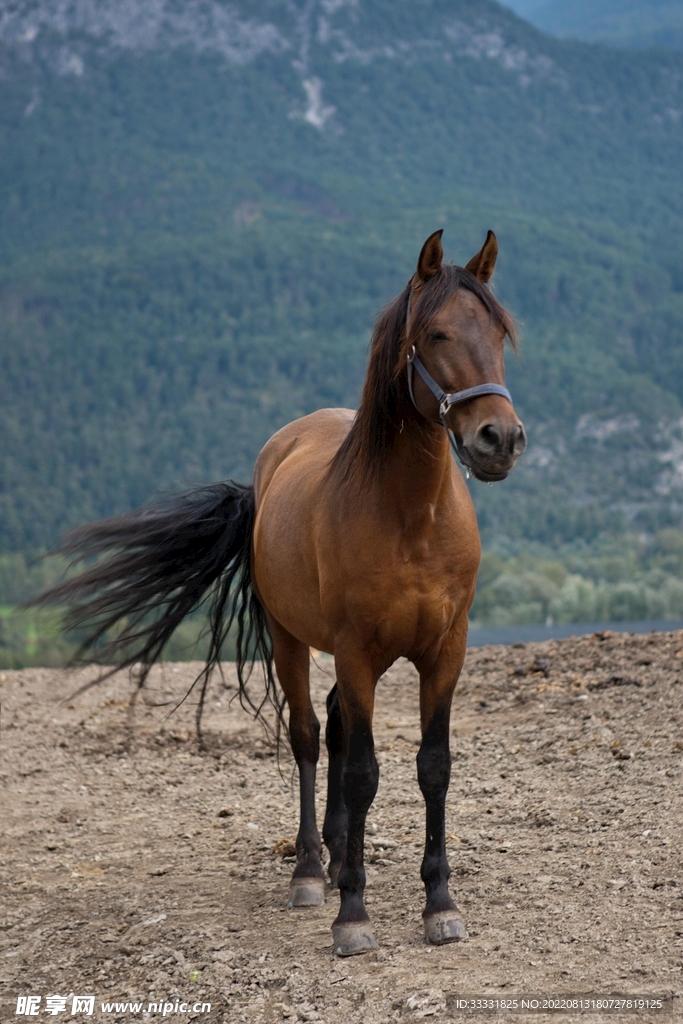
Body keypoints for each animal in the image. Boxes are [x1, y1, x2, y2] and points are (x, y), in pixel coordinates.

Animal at [33, 229, 526, 956]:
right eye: (435, 333)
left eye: (498, 332)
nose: (500, 439)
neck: (411, 517)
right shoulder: (354, 651)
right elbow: (362, 771)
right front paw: (352, 913)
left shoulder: (446, 650)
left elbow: (432, 765)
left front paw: (439, 902)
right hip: (290, 640)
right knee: (309, 736)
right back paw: (313, 870)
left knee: (338, 727)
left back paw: (339, 847)